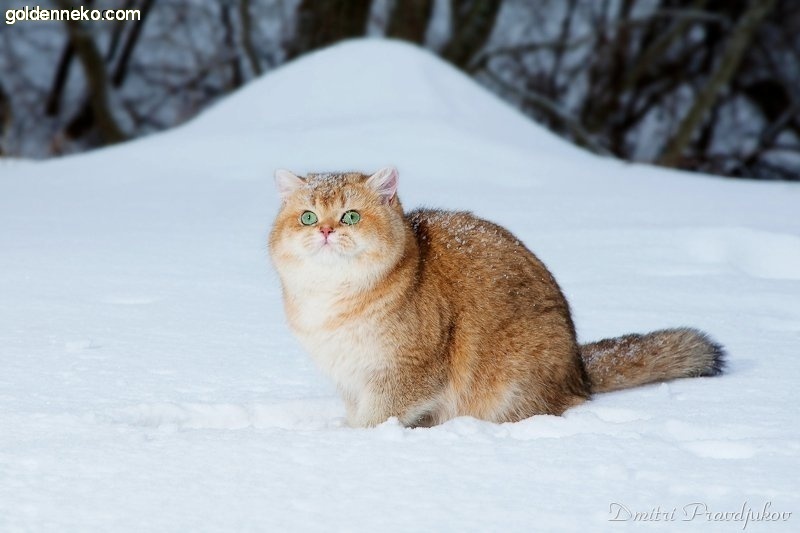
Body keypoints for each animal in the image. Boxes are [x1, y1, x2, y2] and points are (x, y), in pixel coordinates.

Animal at [270, 167, 724, 428]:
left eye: (350, 216)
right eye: (308, 216)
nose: (325, 230)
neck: (334, 300)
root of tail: (578, 369)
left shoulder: (407, 373)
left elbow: (375, 418)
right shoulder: (350, 377)